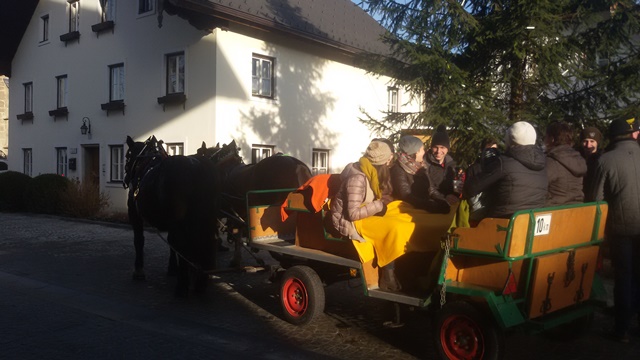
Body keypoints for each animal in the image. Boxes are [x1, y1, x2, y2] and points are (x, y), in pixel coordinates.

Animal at [124, 135, 220, 296]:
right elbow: (171, 243)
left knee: (183, 245)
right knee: (205, 243)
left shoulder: (135, 213)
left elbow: (139, 240)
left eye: (127, 156)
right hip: (204, 219)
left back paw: (182, 286)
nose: (125, 180)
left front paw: (138, 270)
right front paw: (172, 268)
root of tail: (196, 167)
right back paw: (199, 283)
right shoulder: (171, 222)